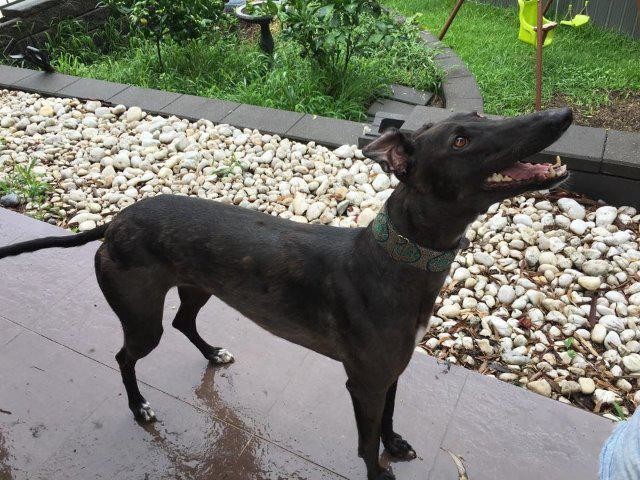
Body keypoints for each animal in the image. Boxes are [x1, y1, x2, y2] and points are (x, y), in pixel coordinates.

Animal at [0, 107, 572, 480]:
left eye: (482, 115)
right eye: (459, 141)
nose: (560, 115)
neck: (392, 260)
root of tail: (114, 223)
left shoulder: (391, 368)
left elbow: (389, 417)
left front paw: (396, 443)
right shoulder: (362, 381)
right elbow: (366, 443)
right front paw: (379, 468)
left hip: (196, 287)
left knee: (185, 322)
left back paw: (213, 354)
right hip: (141, 315)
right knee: (125, 355)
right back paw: (140, 407)